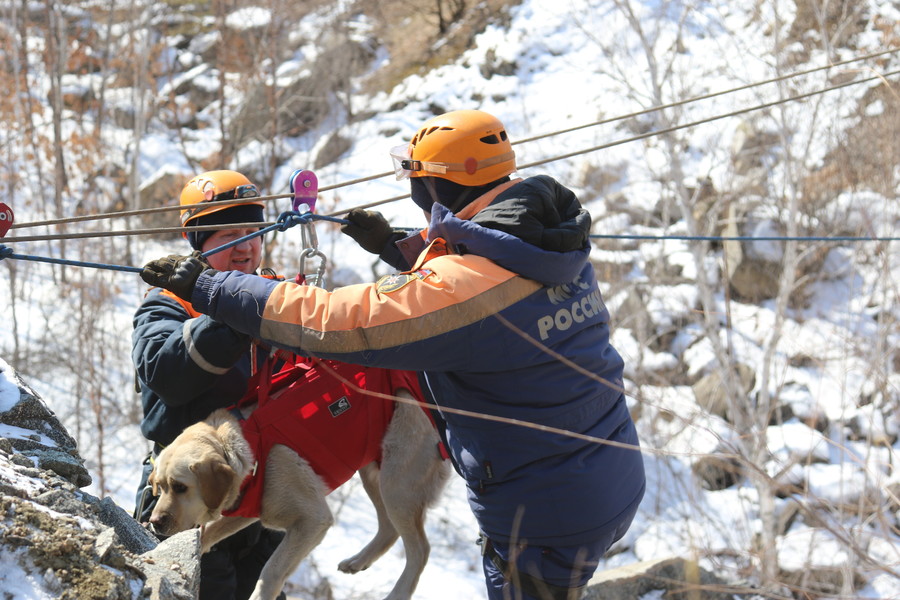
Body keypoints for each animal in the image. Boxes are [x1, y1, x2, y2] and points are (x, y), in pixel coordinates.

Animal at [147, 366, 450, 600]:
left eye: (180, 487)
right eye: (160, 487)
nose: (154, 522)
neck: (248, 447)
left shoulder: (312, 521)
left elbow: (272, 570)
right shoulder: (248, 509)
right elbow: (209, 532)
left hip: (396, 481)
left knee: (420, 550)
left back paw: (398, 592)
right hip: (374, 472)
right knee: (389, 529)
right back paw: (358, 561)